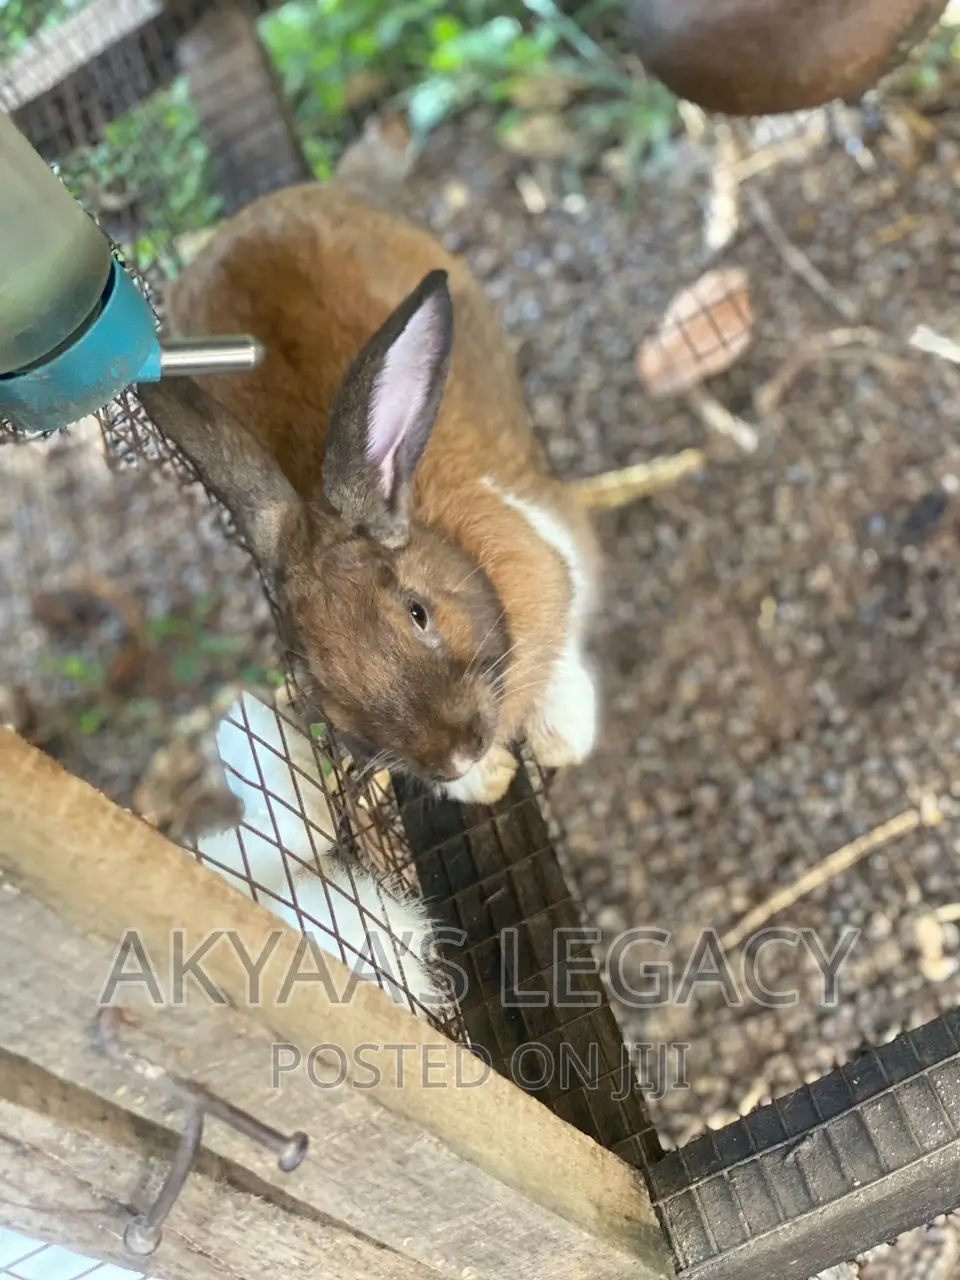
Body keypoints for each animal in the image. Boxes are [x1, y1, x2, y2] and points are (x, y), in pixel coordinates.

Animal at [138, 179, 601, 809]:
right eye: (321, 685)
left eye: (418, 612)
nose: (454, 755)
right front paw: (489, 780)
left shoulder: (557, 544)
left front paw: (562, 737)